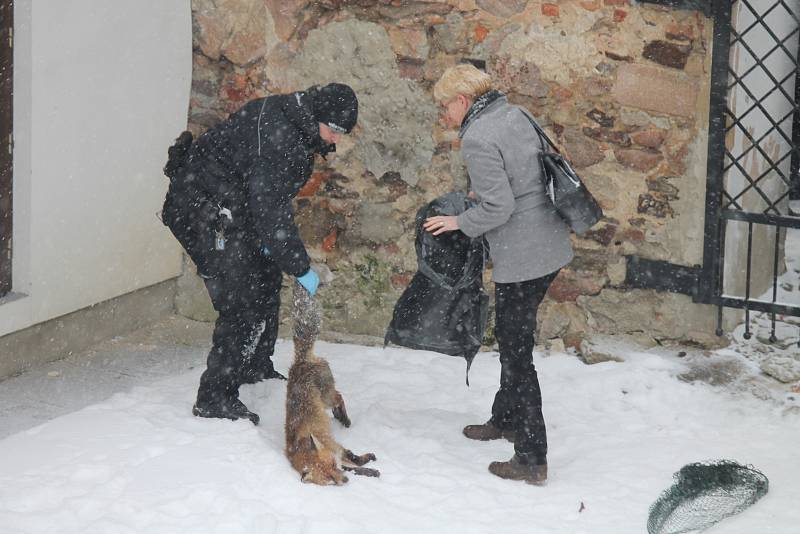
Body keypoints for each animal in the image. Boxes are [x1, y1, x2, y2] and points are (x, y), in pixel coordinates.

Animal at [284, 278, 378, 488]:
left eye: (333, 466)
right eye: (330, 479)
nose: (344, 481)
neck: (299, 448)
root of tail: (301, 361)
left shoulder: (336, 447)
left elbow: (353, 457)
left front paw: (368, 461)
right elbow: (354, 467)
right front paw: (369, 472)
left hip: (326, 396)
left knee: (339, 396)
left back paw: (344, 418)